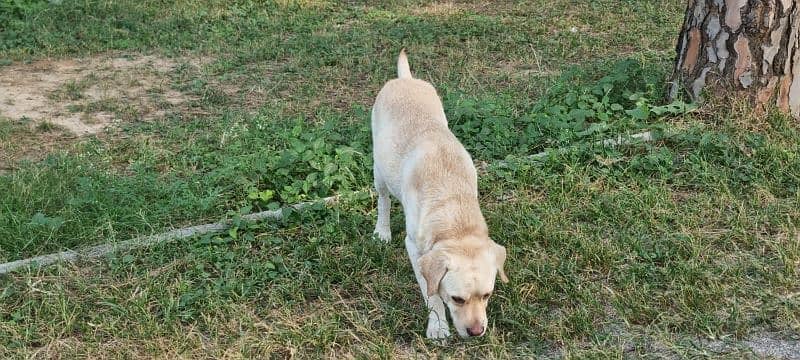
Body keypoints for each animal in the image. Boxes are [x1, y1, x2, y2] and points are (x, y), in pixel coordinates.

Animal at [372, 50, 510, 338]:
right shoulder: (415, 250)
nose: (477, 332)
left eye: (487, 295)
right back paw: (382, 231)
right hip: (379, 170)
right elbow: (431, 292)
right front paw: (437, 326)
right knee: (383, 200)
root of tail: (405, 79)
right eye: (457, 299)